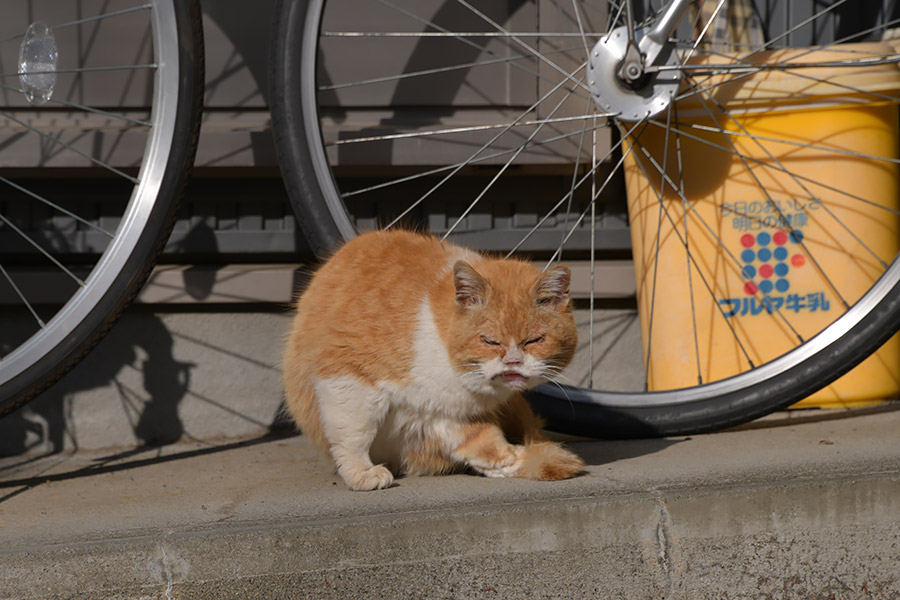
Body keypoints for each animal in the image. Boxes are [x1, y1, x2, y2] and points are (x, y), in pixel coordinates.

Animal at [282, 231, 584, 492]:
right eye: (490, 341)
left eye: (534, 340)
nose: (513, 361)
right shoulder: (348, 373)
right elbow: (353, 435)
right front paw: (362, 473)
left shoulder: (448, 417)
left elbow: (484, 442)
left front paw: (516, 459)